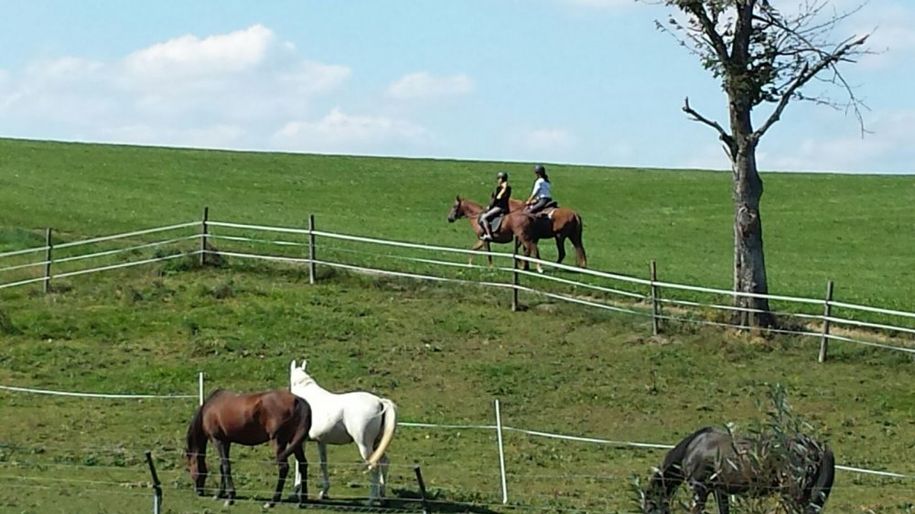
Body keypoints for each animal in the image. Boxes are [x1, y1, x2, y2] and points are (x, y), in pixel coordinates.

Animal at [290, 356, 398, 500]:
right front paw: (323, 492)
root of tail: (380, 402)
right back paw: (382, 495)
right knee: (385, 462)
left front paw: (296, 490)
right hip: (377, 444)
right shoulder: (321, 441)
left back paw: (371, 500)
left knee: (374, 467)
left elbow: (299, 463)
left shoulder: (302, 441)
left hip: (365, 446)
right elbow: (323, 463)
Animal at [450, 195, 592, 270]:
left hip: (560, 237)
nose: (449, 218)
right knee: (580, 250)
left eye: (454, 206)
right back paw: (581, 267)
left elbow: (486, 253)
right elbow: (474, 249)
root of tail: (574, 214)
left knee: (562, 253)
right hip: (573, 236)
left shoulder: (485, 239)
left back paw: (554, 267)